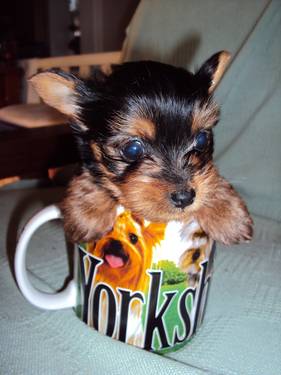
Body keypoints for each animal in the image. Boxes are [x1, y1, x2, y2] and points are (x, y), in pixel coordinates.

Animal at [31, 51, 254, 248]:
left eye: (201, 140)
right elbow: (92, 175)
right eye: (132, 149)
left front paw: (227, 212)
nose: (185, 197)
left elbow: (212, 177)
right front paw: (88, 212)